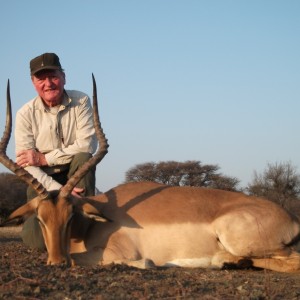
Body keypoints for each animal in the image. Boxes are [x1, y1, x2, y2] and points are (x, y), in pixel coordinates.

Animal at [0, 77, 300, 272]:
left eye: (70, 215)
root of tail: (291, 218)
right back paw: (225, 262)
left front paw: (154, 263)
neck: (90, 226)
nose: (56, 262)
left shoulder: (116, 252)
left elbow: (142, 261)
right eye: (41, 219)